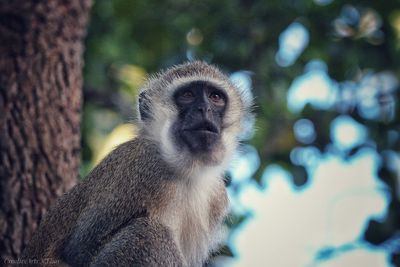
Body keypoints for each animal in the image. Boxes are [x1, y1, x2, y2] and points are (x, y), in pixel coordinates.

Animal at [20, 61, 252, 266]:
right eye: (187, 95)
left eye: (215, 97)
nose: (204, 108)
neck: (185, 171)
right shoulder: (144, 168)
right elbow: (79, 250)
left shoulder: (216, 198)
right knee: (147, 234)